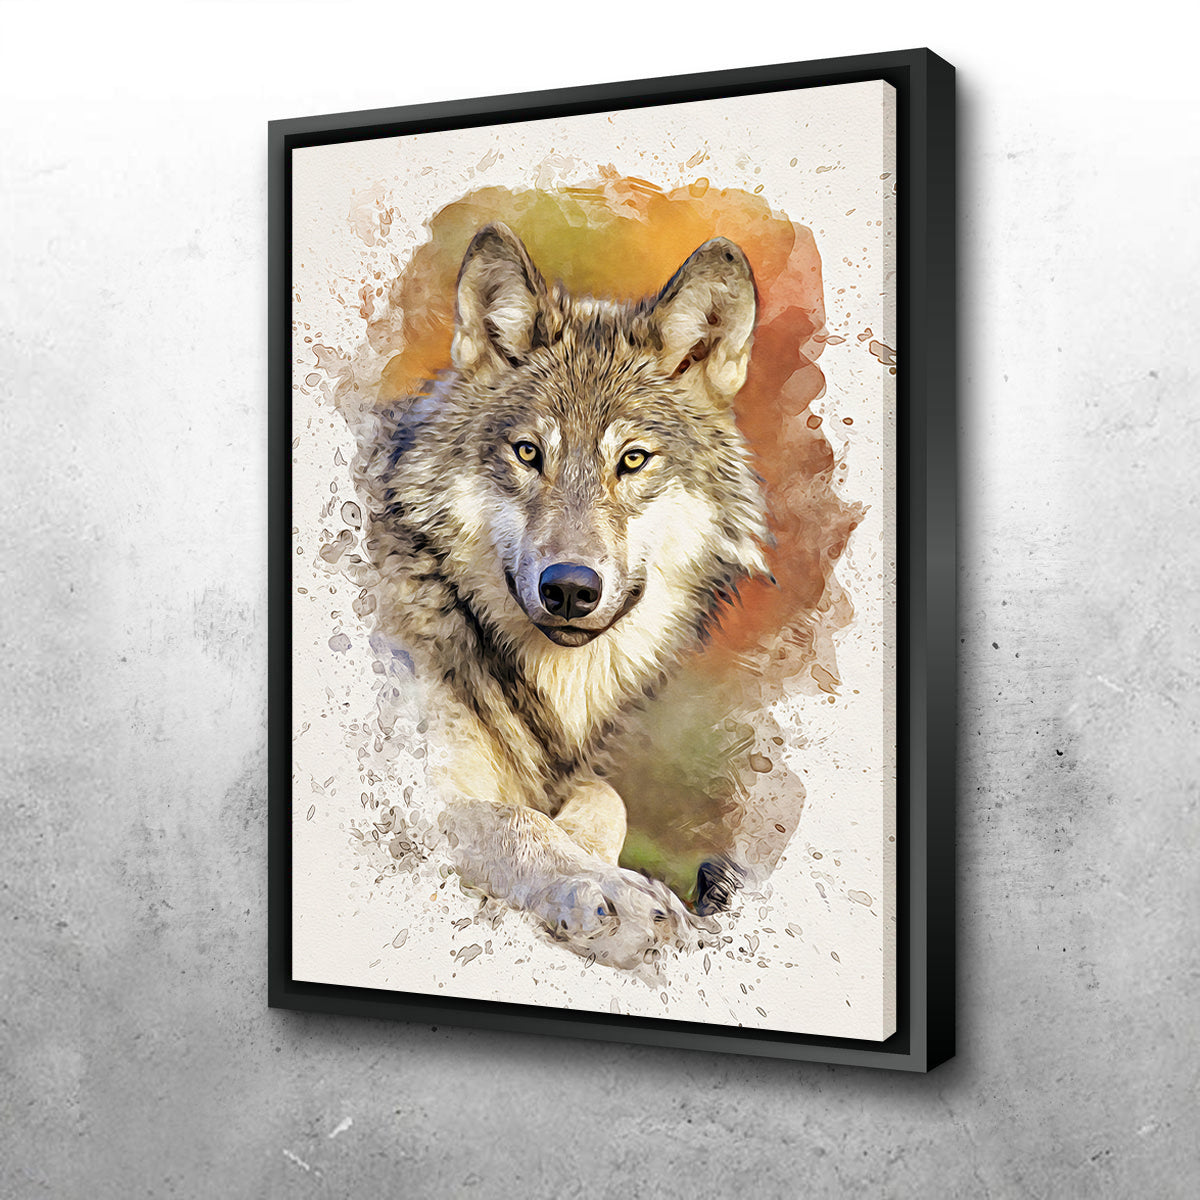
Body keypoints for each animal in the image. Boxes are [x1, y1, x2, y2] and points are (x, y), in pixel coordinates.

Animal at [351, 223, 770, 967]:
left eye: (632, 459)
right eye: (528, 453)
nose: (570, 589)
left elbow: (606, 798)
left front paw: (602, 863)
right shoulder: (401, 783)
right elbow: (517, 821)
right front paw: (611, 892)